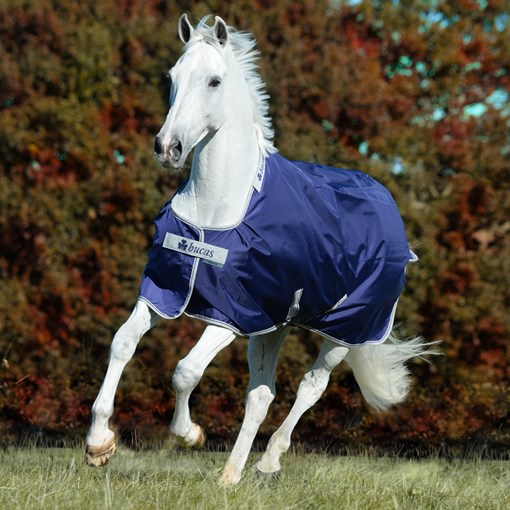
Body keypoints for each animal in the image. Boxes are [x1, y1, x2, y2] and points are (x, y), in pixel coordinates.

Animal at [85, 15, 432, 484]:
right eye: (173, 77)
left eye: (214, 81)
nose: (168, 148)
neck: (216, 208)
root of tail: (390, 209)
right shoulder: (165, 291)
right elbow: (123, 343)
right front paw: (99, 444)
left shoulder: (231, 315)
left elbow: (185, 371)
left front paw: (190, 435)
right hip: (274, 327)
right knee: (261, 395)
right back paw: (231, 476)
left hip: (345, 330)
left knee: (310, 386)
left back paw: (267, 462)